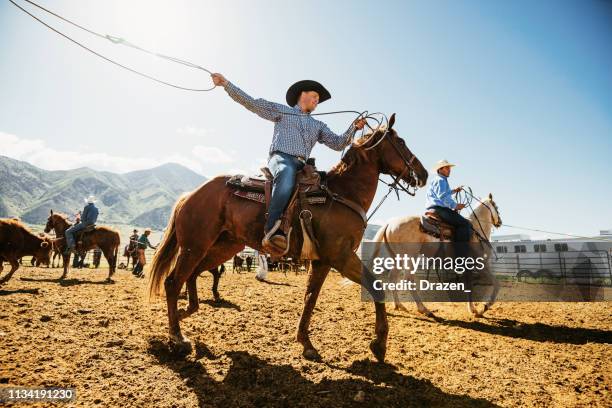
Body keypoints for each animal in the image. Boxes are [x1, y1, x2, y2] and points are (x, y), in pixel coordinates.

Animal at [146, 113, 428, 362]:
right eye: (401, 142)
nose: (423, 174)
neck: (342, 194)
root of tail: (191, 195)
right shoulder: (341, 257)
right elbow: (375, 286)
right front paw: (379, 344)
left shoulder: (322, 261)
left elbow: (310, 299)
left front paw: (306, 343)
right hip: (194, 246)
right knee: (173, 281)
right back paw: (177, 338)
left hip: (221, 247)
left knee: (193, 276)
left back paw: (185, 313)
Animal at [372, 194, 502, 318]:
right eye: (496, 207)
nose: (499, 222)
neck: (476, 232)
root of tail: (389, 223)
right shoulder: (480, 264)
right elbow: (496, 283)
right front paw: (484, 307)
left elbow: (469, 284)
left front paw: (473, 309)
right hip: (410, 258)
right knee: (408, 279)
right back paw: (424, 309)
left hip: (397, 259)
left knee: (392, 277)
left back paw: (399, 305)